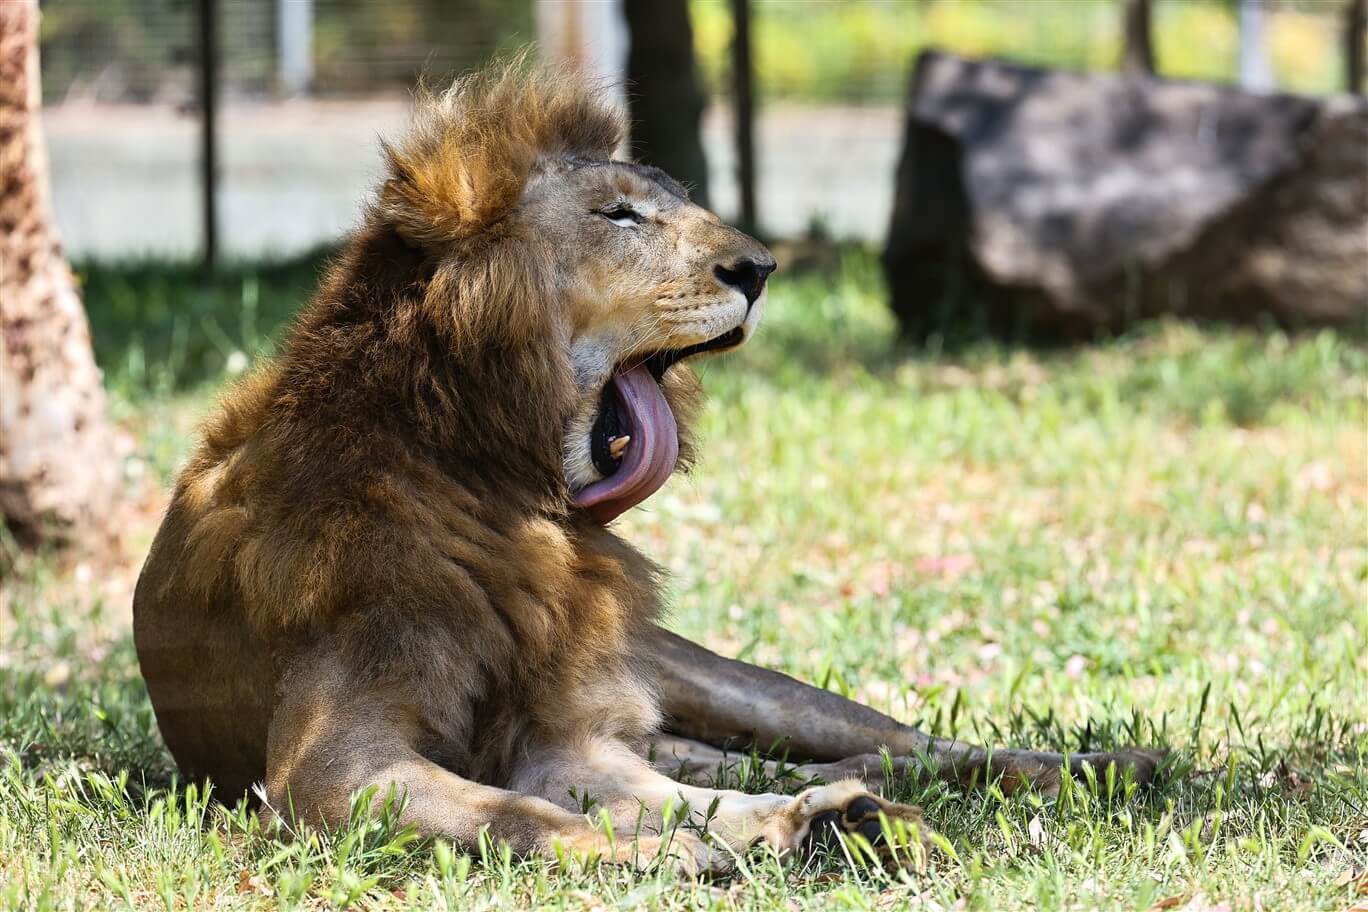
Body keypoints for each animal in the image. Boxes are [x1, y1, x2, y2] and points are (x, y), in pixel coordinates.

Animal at [128, 60, 1160, 875]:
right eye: (620, 216)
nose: (762, 267)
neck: (496, 487)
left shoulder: (567, 732)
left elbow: (671, 801)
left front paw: (807, 829)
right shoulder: (326, 766)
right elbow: (528, 818)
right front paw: (718, 848)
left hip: (718, 679)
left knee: (899, 738)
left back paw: (1102, 769)